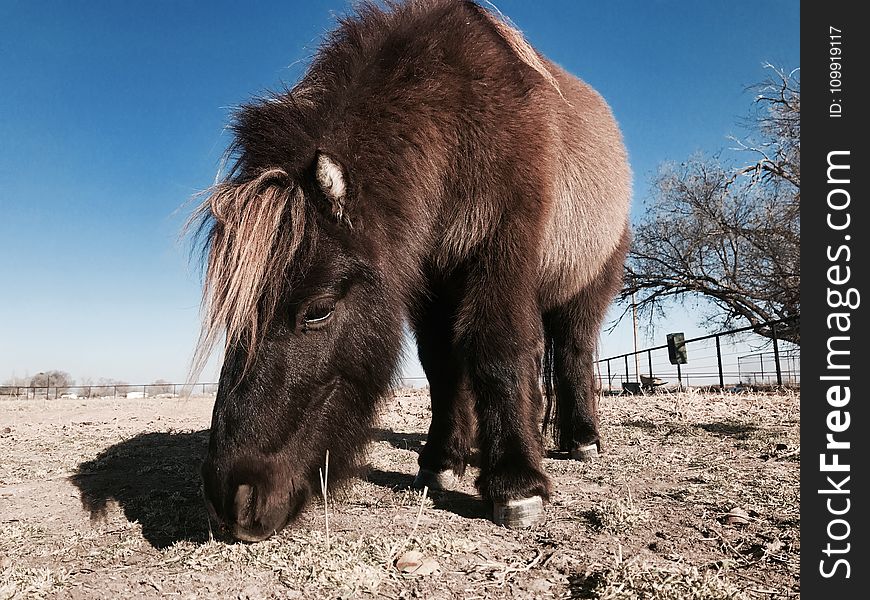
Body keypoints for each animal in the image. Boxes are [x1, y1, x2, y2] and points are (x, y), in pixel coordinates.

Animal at [192, 0, 628, 540]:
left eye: (318, 311)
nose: (231, 496)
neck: (460, 121)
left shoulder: (502, 256)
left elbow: (499, 348)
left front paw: (516, 484)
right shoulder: (428, 285)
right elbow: (441, 364)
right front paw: (441, 461)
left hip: (586, 288)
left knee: (573, 353)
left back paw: (582, 439)